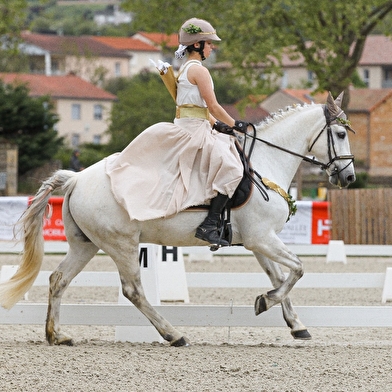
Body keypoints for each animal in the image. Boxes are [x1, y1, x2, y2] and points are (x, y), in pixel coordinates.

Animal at [0, 92, 356, 346]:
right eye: (339, 133)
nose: (349, 177)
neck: (265, 164)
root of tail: (76, 178)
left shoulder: (258, 241)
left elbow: (279, 275)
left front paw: (295, 324)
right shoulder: (262, 238)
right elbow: (297, 269)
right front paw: (266, 303)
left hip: (85, 245)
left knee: (58, 279)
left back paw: (56, 335)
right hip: (122, 245)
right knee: (133, 290)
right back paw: (173, 335)